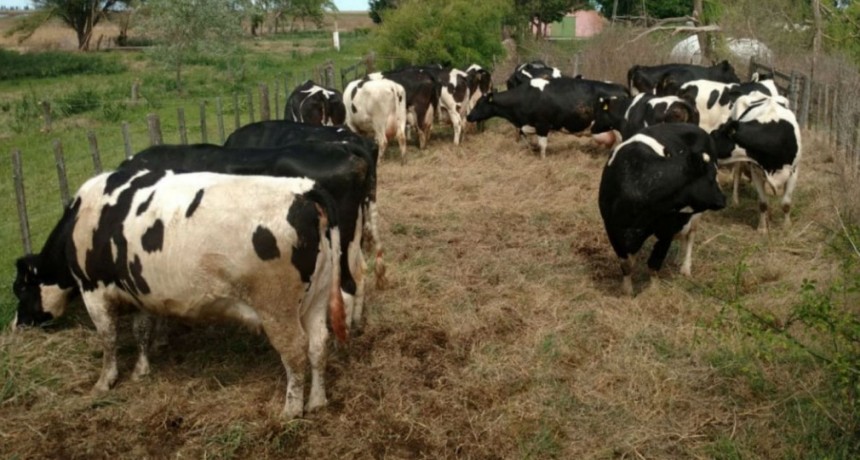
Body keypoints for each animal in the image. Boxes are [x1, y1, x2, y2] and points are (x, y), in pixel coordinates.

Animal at [13, 169, 345, 419]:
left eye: (20, 289)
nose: (16, 326)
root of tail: (304, 189)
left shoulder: (92, 289)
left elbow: (108, 338)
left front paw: (105, 381)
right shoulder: (138, 290)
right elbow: (142, 330)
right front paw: (141, 370)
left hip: (277, 308)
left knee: (295, 351)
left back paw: (291, 410)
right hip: (316, 299)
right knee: (318, 344)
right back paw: (317, 401)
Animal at [466, 76, 629, 159]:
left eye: (479, 103)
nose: (468, 116)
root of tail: (622, 88)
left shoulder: (542, 125)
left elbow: (542, 145)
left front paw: (542, 159)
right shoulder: (527, 124)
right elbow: (524, 137)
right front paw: (530, 150)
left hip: (618, 130)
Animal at [598, 123, 727, 295]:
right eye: (712, 177)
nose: (723, 199)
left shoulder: (667, 230)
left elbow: (655, 262)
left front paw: (654, 289)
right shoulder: (613, 228)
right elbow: (626, 264)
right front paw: (627, 291)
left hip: (695, 216)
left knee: (690, 235)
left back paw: (686, 268)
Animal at [710, 93, 802, 233]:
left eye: (714, 135)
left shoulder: (794, 171)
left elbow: (786, 203)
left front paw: (786, 227)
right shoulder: (756, 171)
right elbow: (763, 203)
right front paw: (762, 228)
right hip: (740, 162)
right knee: (737, 174)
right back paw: (736, 201)